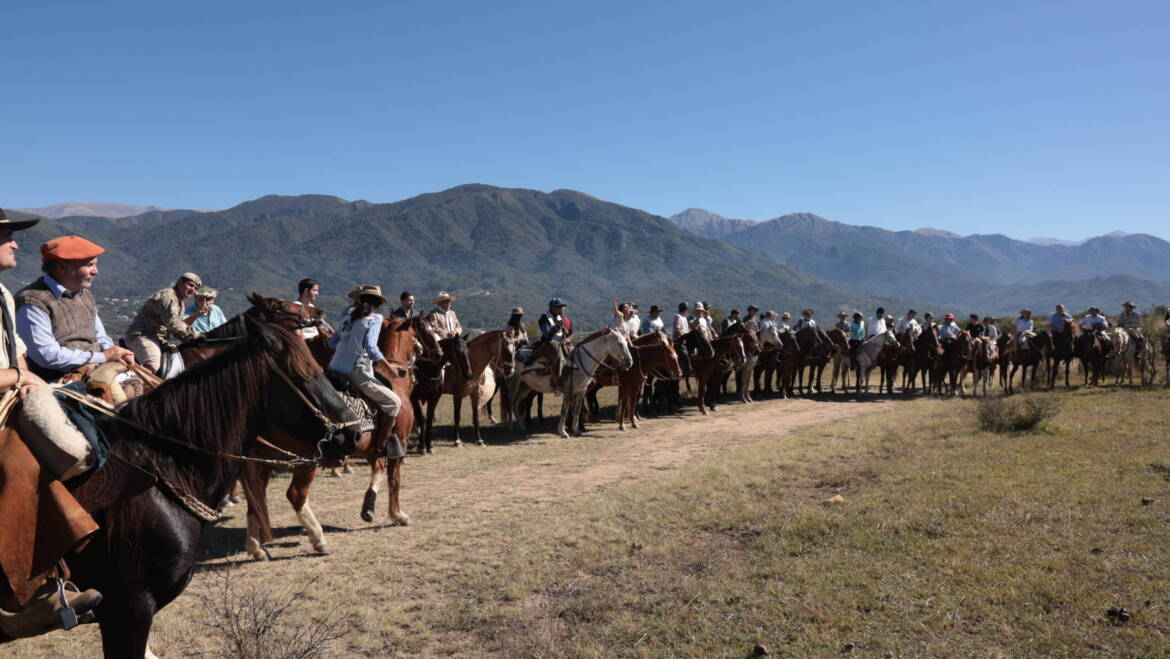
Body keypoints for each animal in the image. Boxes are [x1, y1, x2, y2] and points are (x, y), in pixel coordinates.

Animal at [503, 327, 631, 437]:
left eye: (626, 342)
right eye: (620, 343)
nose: (629, 362)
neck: (580, 362)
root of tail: (515, 354)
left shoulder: (582, 391)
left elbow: (576, 410)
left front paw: (576, 430)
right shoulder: (568, 391)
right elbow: (564, 410)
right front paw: (563, 432)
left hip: (525, 387)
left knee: (516, 404)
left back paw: (522, 426)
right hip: (513, 384)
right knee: (510, 404)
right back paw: (511, 428)